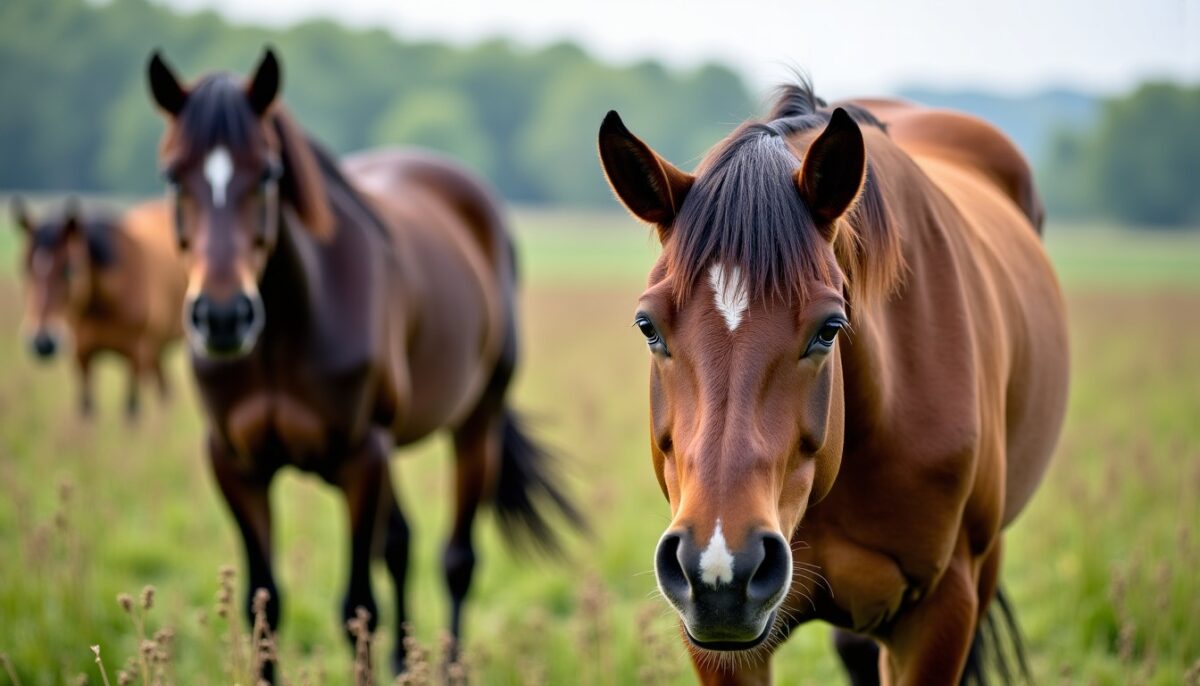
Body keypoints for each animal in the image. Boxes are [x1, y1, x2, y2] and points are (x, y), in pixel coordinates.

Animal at [11, 197, 185, 418]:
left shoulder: (137, 355)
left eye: (69, 269)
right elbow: (87, 409)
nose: (42, 343)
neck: (101, 306)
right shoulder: (81, 355)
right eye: (25, 269)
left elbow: (131, 410)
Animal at [146, 48, 582, 678]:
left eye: (269, 173)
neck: (288, 332)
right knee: (399, 543)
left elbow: (358, 607)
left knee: (457, 560)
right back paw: (405, 664)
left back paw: (448, 667)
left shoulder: (359, 459)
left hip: (474, 424)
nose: (223, 317)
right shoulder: (235, 464)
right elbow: (265, 607)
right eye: (172, 175)